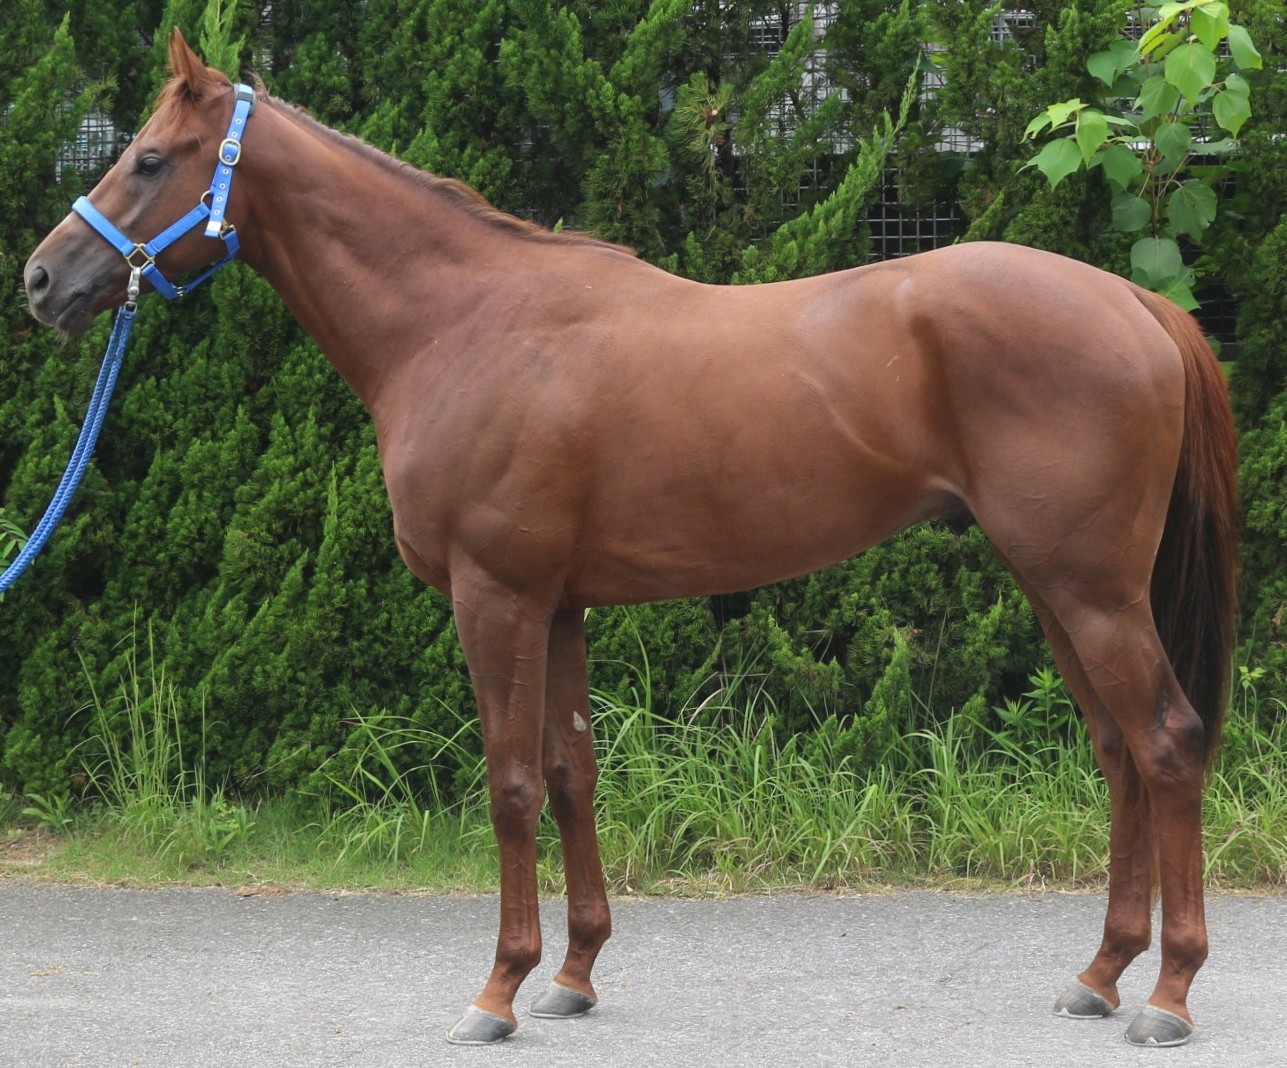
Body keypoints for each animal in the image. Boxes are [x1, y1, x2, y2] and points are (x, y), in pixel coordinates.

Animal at [23, 31, 1238, 1048]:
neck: (463, 326)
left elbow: (511, 783)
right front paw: (573, 975)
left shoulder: (496, 597)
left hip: (1088, 590)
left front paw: (497, 991)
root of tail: (1136, 304)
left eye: (148, 158)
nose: (41, 279)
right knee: (1119, 754)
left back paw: (1169, 995)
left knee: (1168, 743)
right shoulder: (558, 603)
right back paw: (1099, 974)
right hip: (1055, 587)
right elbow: (572, 775)